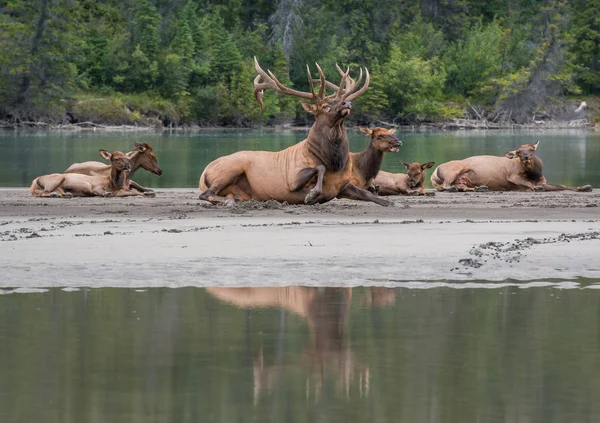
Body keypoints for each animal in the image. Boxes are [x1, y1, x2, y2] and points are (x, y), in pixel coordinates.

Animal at [199, 57, 392, 208]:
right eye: (325, 105)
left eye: (341, 99)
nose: (347, 103)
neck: (335, 163)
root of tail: (203, 172)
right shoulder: (292, 180)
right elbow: (319, 168)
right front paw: (311, 195)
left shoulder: (343, 185)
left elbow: (370, 194)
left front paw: (392, 203)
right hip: (231, 167)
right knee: (205, 194)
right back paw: (228, 202)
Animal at [428, 142, 592, 193]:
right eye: (519, 152)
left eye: (531, 149)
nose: (525, 157)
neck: (535, 173)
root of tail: (433, 173)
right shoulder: (513, 177)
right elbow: (527, 184)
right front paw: (535, 187)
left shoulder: (544, 181)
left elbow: (562, 185)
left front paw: (584, 187)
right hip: (454, 170)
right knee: (446, 185)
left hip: (461, 178)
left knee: (461, 186)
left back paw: (479, 188)